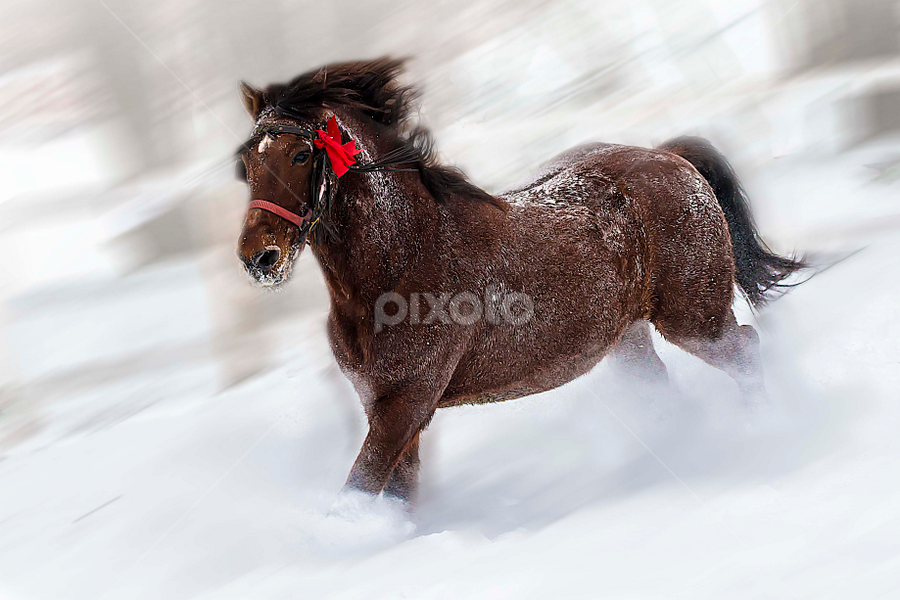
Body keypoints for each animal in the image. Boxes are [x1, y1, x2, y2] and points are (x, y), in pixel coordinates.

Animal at [235, 58, 805, 504]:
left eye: (301, 154)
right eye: (246, 162)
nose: (258, 257)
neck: (398, 264)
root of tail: (670, 156)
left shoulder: (404, 406)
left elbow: (353, 495)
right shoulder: (391, 412)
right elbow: (395, 499)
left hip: (692, 317)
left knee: (745, 349)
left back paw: (762, 431)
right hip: (625, 338)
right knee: (664, 386)